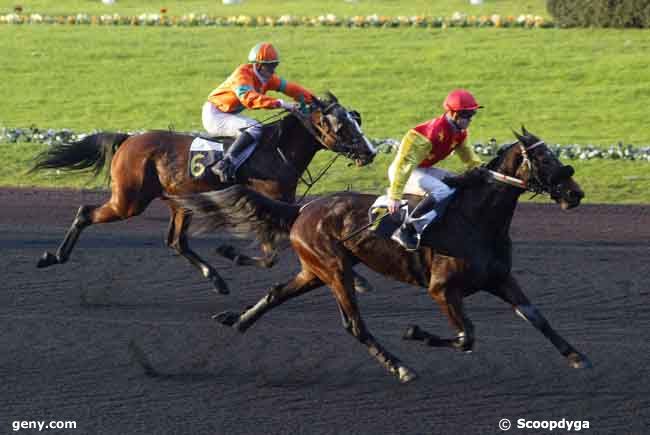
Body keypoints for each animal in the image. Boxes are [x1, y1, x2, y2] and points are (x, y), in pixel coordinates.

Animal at [30, 93, 374, 294]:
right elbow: (272, 254)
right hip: (129, 200)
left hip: (179, 202)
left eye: (356, 121)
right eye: (342, 126)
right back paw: (54, 256)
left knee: (176, 241)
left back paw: (216, 279)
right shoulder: (267, 203)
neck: (276, 150)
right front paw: (231, 252)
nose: (369, 152)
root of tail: (128, 139)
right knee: (86, 212)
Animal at [175, 127, 588, 384]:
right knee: (355, 326)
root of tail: (303, 209)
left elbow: (535, 316)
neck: (477, 219)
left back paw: (240, 320)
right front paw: (416, 333)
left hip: (316, 270)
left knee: (277, 292)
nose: (575, 193)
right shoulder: (442, 289)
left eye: (555, 153)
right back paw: (400, 367)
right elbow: (466, 336)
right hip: (335, 270)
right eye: (544, 159)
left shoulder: (500, 278)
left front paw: (576, 355)